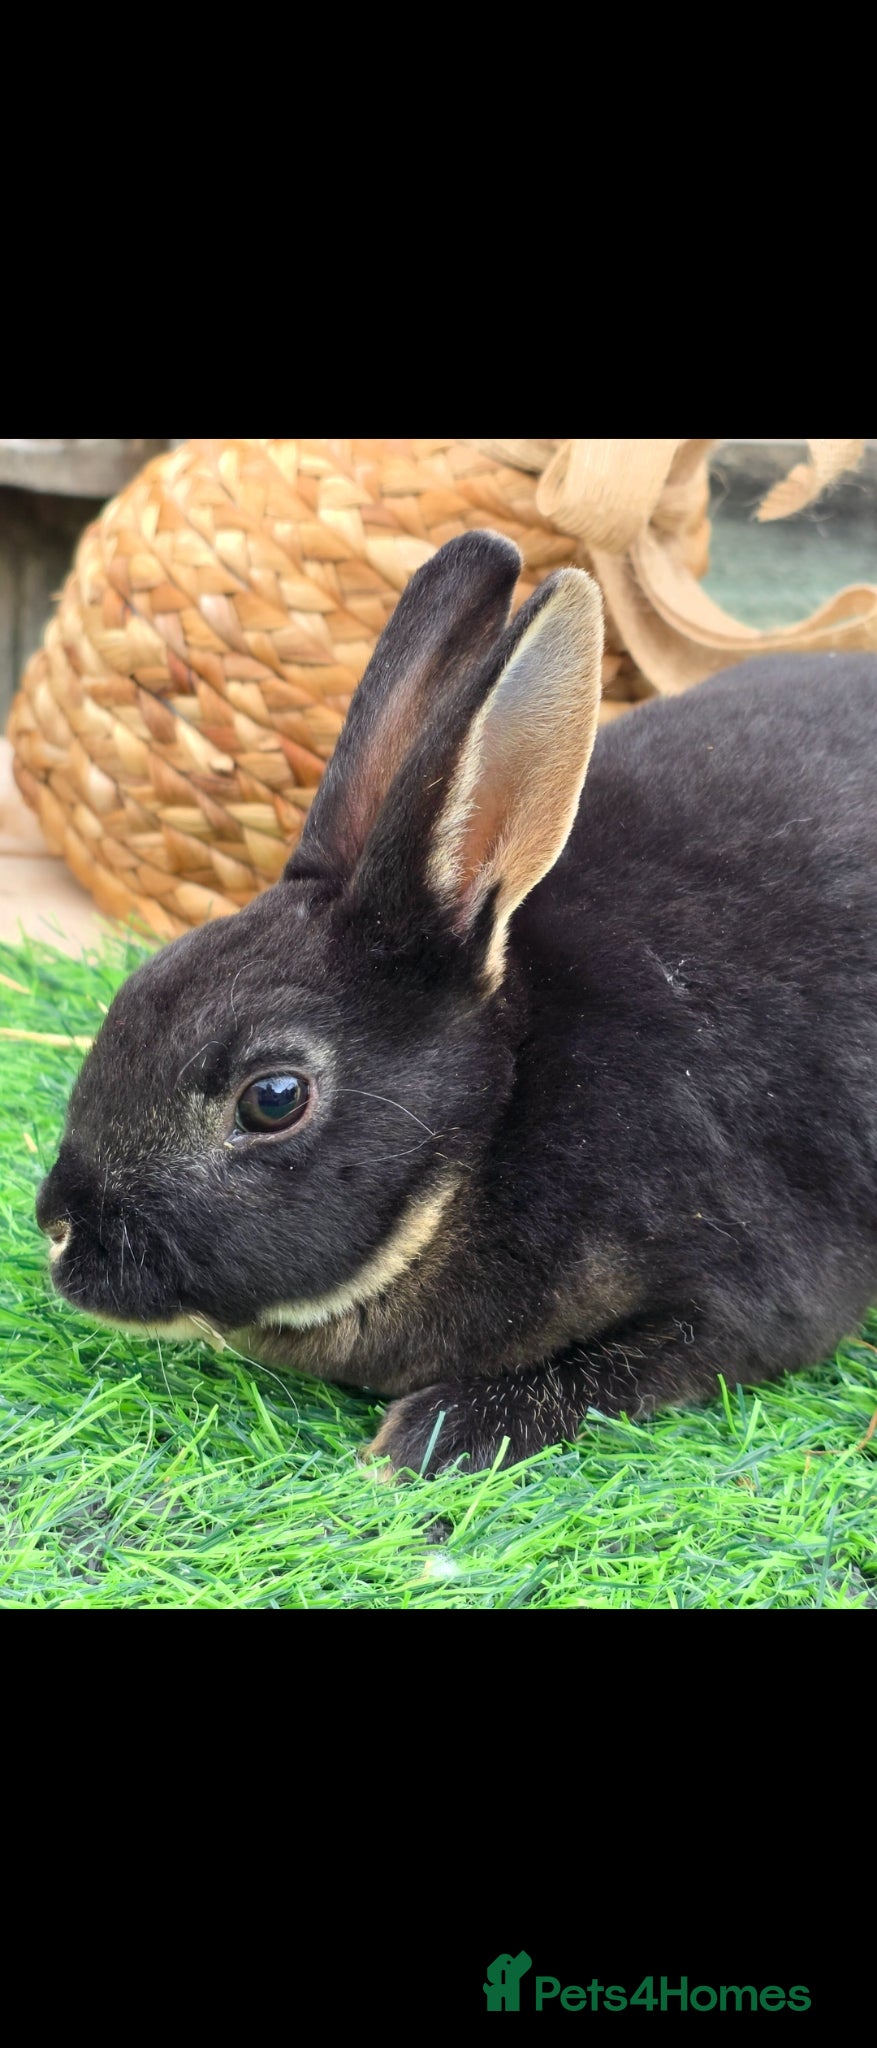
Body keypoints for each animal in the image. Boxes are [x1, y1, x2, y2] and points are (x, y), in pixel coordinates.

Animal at [36, 529, 877, 1478]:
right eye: (134, 990)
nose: (57, 1229)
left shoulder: (747, 1285)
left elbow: (628, 1365)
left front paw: (425, 1437)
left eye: (274, 1098)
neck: (493, 1121)